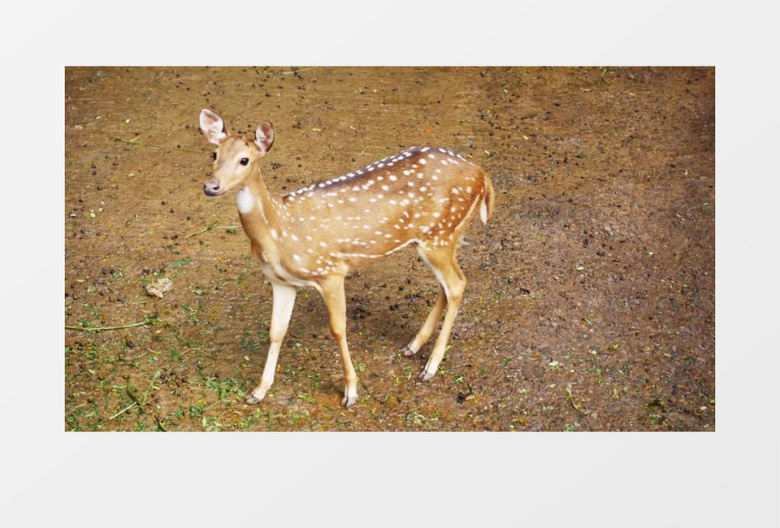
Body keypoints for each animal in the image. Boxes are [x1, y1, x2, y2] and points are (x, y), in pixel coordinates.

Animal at [198, 109, 494, 408]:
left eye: (244, 159)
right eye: (214, 154)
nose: (211, 186)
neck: (279, 231)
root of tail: (483, 176)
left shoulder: (330, 270)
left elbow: (338, 329)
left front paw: (350, 392)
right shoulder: (281, 281)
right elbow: (276, 331)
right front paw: (258, 391)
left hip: (439, 237)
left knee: (456, 284)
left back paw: (430, 367)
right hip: (441, 238)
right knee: (448, 285)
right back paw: (413, 346)